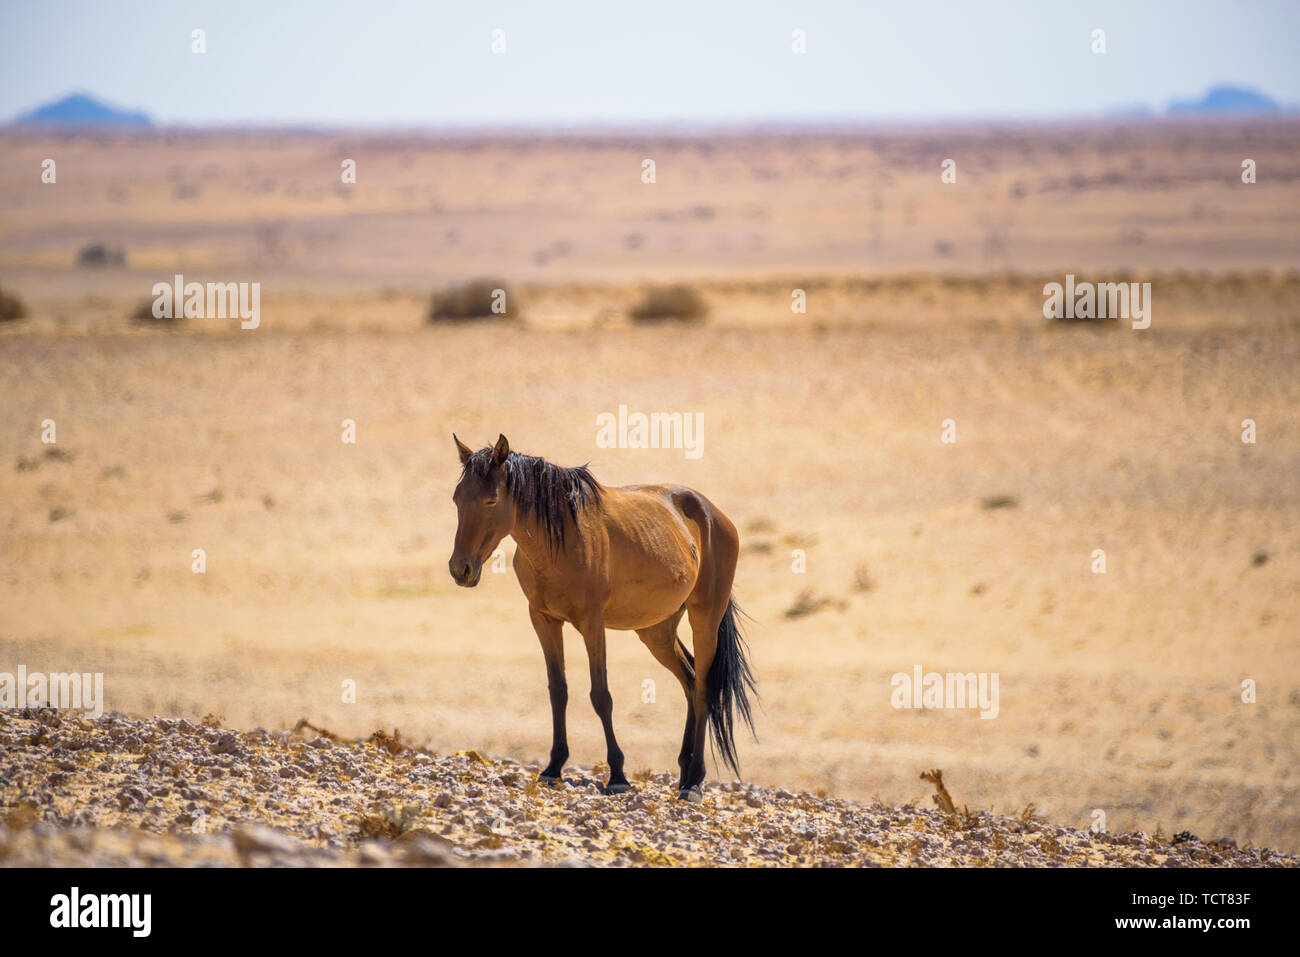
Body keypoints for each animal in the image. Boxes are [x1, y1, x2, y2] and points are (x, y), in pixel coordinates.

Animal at [447, 434, 759, 800]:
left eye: (491, 500)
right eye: (457, 498)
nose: (460, 569)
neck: (560, 540)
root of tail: (714, 514)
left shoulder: (592, 624)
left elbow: (601, 696)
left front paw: (618, 775)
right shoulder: (543, 619)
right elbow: (558, 690)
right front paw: (553, 768)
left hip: (705, 617)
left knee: (702, 688)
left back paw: (694, 782)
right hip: (657, 630)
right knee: (690, 679)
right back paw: (684, 772)